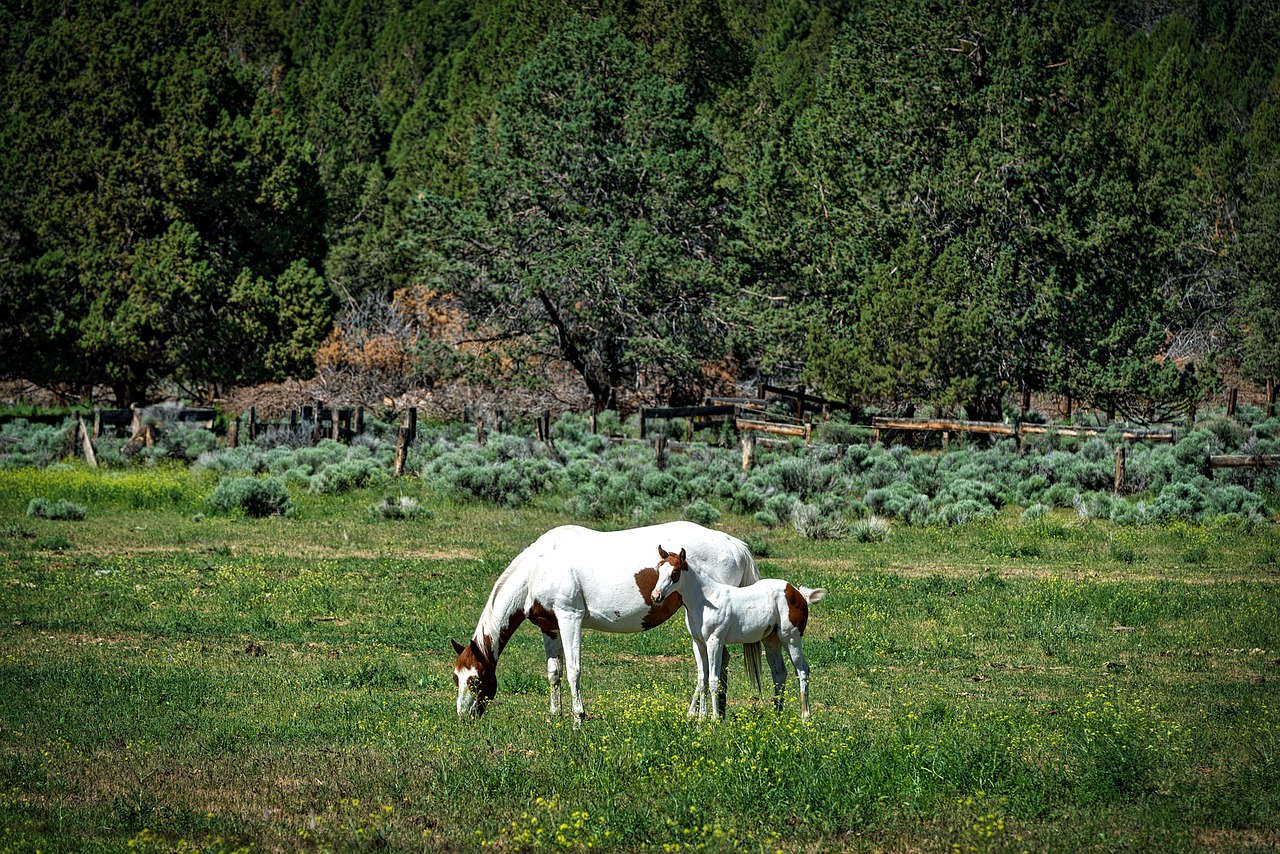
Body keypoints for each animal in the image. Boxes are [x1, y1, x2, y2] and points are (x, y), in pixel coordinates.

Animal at [453, 522, 757, 722]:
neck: (539, 567)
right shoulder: (550, 628)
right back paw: (715, 713)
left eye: (475, 681)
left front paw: (578, 717)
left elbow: (573, 670)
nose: (463, 716)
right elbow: (554, 673)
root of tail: (733, 544)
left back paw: (704, 715)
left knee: (715, 664)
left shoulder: (570, 618)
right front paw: (554, 717)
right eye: (456, 677)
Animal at [655, 545, 824, 717]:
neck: (705, 599)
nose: (656, 596)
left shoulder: (715, 642)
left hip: (791, 640)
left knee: (802, 670)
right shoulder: (698, 644)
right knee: (780, 673)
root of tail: (798, 593)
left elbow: (713, 680)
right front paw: (701, 719)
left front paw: (715, 719)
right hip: (772, 642)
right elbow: (702, 680)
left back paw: (805, 716)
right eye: (658, 569)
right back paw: (777, 714)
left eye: (674, 572)